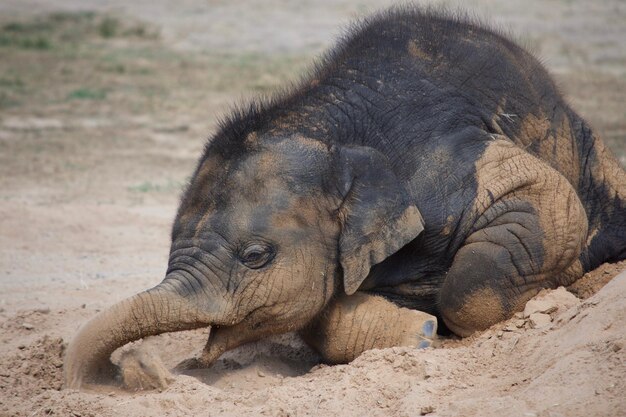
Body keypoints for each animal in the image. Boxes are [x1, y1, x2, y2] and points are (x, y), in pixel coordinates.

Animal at [64, 7, 624, 390]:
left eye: (255, 256)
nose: (147, 369)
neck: (327, 122)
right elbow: (320, 318)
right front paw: (421, 331)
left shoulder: (447, 157)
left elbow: (541, 195)